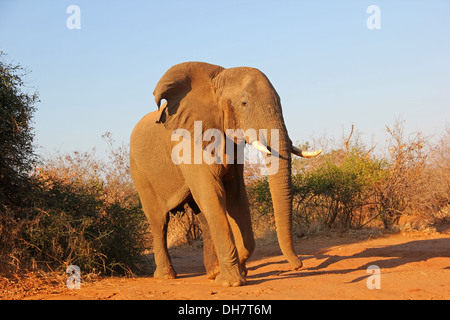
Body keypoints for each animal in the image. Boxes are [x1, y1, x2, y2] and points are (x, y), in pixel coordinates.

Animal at [128, 61, 322, 286]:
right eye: (244, 103)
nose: (298, 265)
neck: (216, 82)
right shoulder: (190, 143)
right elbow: (213, 193)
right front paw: (231, 282)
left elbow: (235, 194)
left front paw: (237, 270)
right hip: (139, 171)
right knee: (159, 220)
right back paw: (166, 276)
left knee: (202, 216)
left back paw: (212, 272)